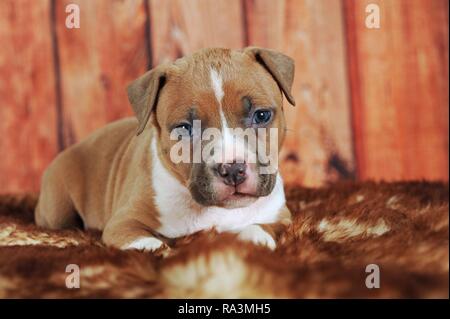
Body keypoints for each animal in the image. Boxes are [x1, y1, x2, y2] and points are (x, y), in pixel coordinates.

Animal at [35, 47, 296, 252]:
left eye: (261, 115)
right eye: (185, 128)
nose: (233, 170)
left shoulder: (281, 216)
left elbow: (261, 226)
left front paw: (254, 238)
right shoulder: (123, 222)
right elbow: (146, 242)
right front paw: (158, 248)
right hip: (56, 208)